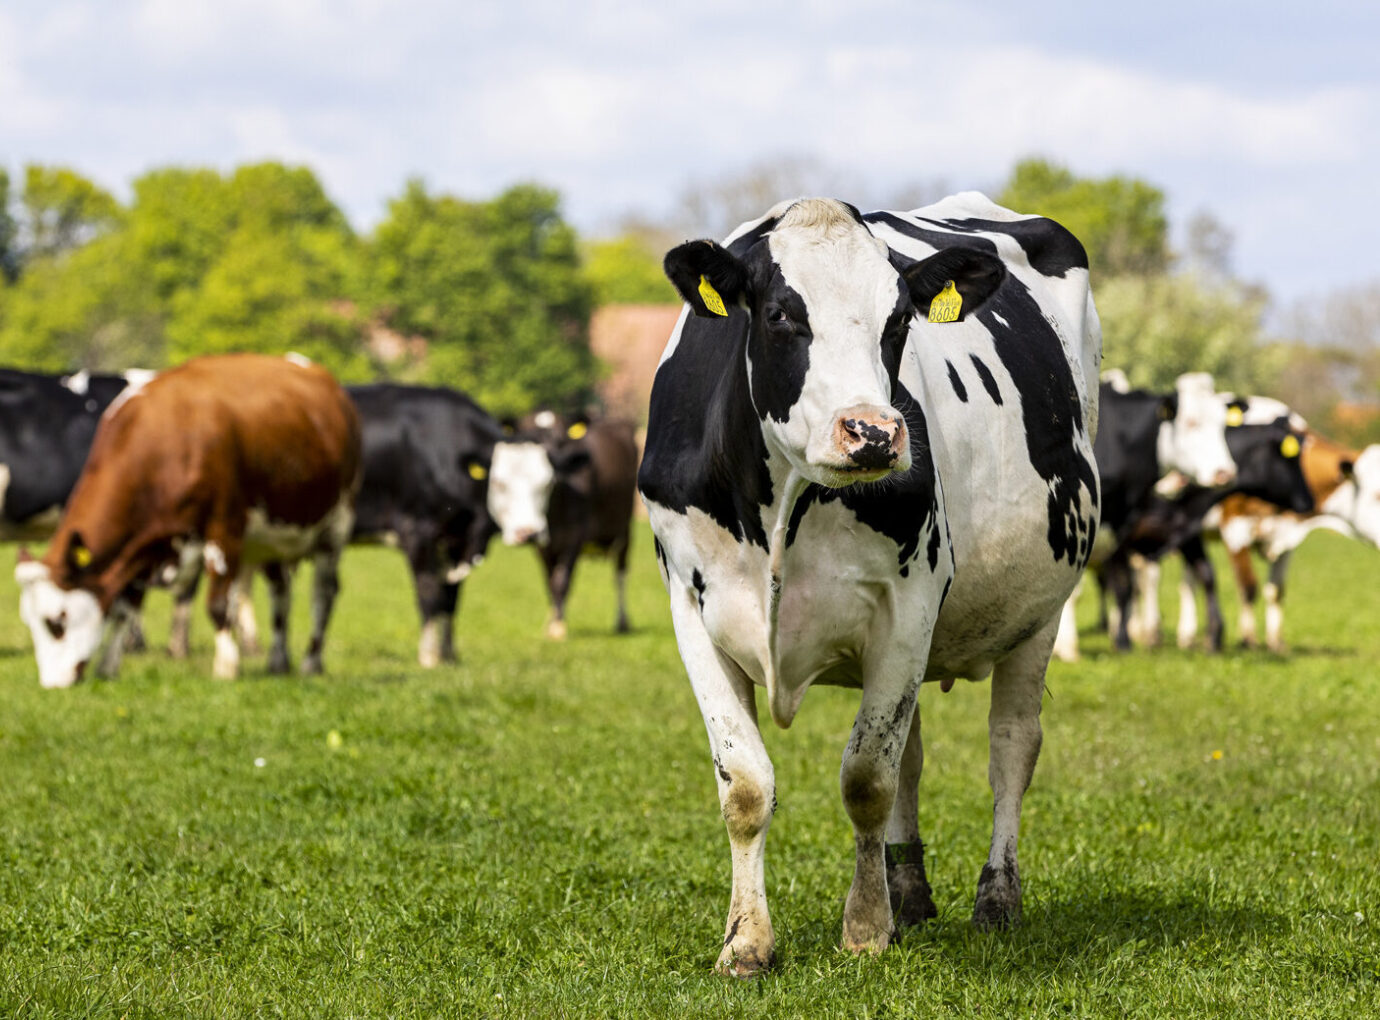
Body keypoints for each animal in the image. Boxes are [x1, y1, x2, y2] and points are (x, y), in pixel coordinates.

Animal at [14, 353, 360, 687]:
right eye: (30, 622)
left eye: (56, 622)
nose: (53, 684)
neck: (162, 440)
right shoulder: (143, 544)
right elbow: (126, 605)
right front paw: (108, 667)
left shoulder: (224, 528)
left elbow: (218, 604)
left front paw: (226, 667)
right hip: (273, 536)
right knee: (281, 594)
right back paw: (278, 662)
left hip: (335, 527)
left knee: (323, 595)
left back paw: (311, 662)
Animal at [486, 411, 638, 639]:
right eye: (502, 483)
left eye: (547, 482)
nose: (527, 533)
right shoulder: (543, 545)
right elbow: (549, 582)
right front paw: (552, 622)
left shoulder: (575, 537)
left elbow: (562, 580)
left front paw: (558, 628)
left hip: (624, 530)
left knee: (620, 573)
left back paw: (622, 621)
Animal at [640, 194, 1101, 974]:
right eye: (780, 315)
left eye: (897, 321)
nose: (874, 433)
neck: (781, 508)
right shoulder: (691, 605)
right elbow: (746, 784)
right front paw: (746, 943)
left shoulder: (910, 602)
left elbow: (866, 779)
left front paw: (863, 929)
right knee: (911, 750)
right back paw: (908, 893)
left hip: (1042, 611)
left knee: (1011, 747)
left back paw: (996, 898)